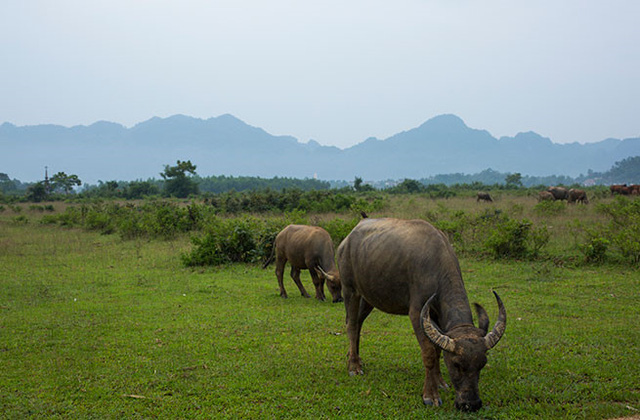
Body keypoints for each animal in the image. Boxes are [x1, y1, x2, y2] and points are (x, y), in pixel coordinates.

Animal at [338, 218, 508, 412]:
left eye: (482, 364)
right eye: (456, 364)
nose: (470, 404)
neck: (437, 265)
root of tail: (347, 240)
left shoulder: (437, 317)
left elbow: (437, 349)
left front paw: (440, 381)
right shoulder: (417, 312)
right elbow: (428, 353)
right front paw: (430, 395)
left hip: (369, 297)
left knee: (358, 323)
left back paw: (356, 358)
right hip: (350, 289)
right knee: (351, 325)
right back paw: (354, 367)